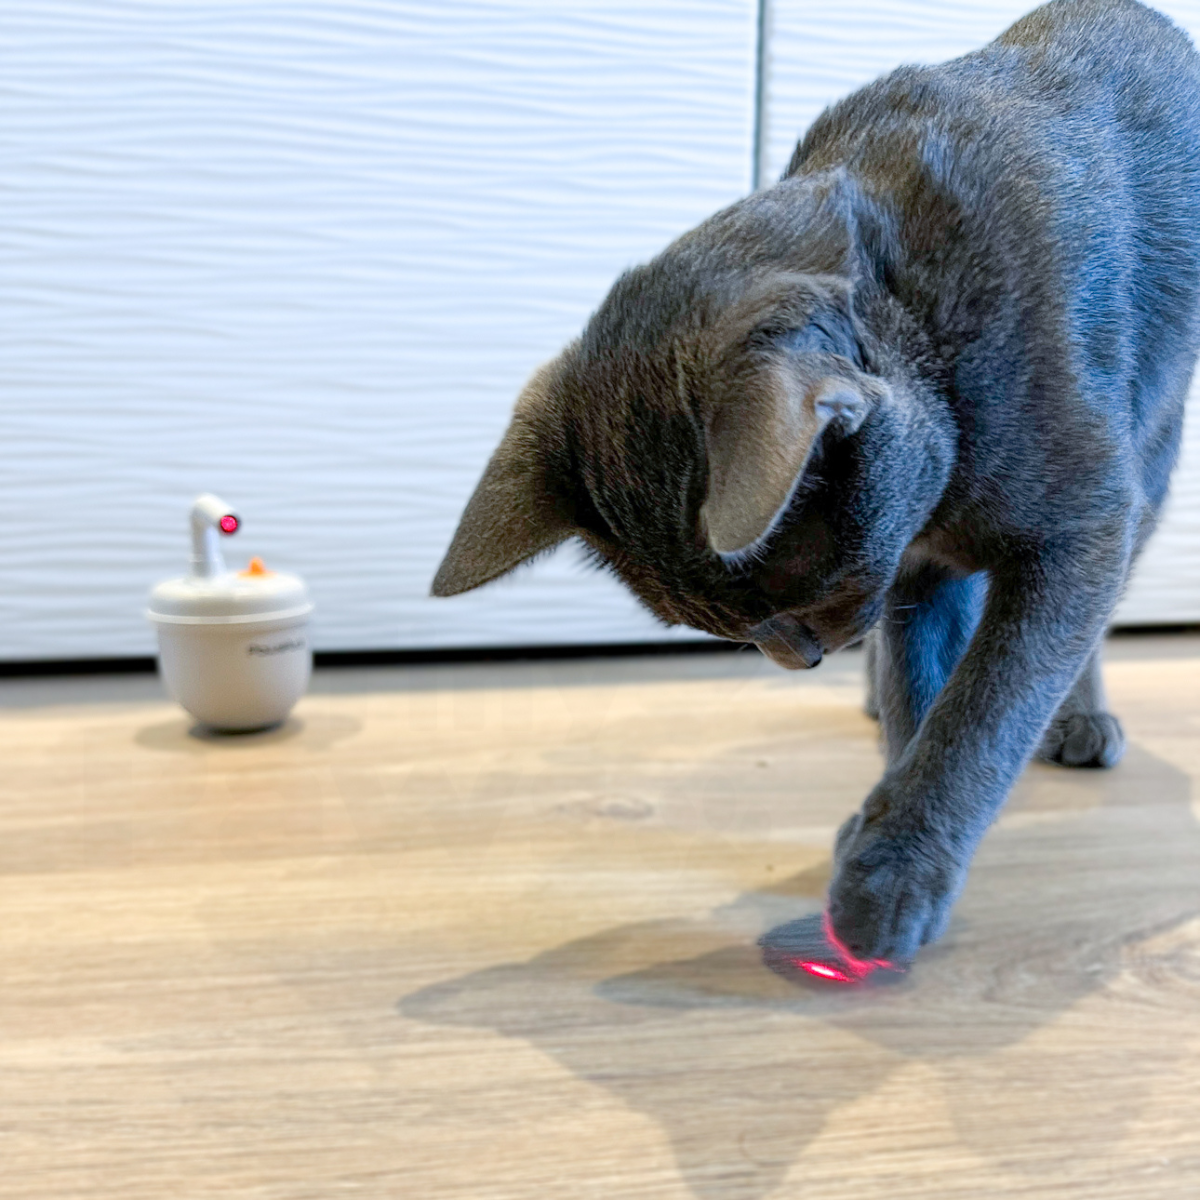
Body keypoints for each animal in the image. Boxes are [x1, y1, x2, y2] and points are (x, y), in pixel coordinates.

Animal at [429, 0, 1200, 960]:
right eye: (722, 626)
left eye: (799, 596)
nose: (798, 659)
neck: (913, 304)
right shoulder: (918, 567)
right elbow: (920, 695)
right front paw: (874, 832)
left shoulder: (1079, 526)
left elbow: (985, 708)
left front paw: (891, 878)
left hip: (1155, 442)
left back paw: (1078, 719)